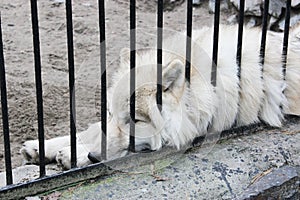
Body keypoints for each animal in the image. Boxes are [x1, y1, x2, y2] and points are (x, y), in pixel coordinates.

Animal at [21, 24, 300, 169]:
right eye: (111, 113)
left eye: (135, 120)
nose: (92, 157)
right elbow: (91, 129)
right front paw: (44, 147)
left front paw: (74, 154)